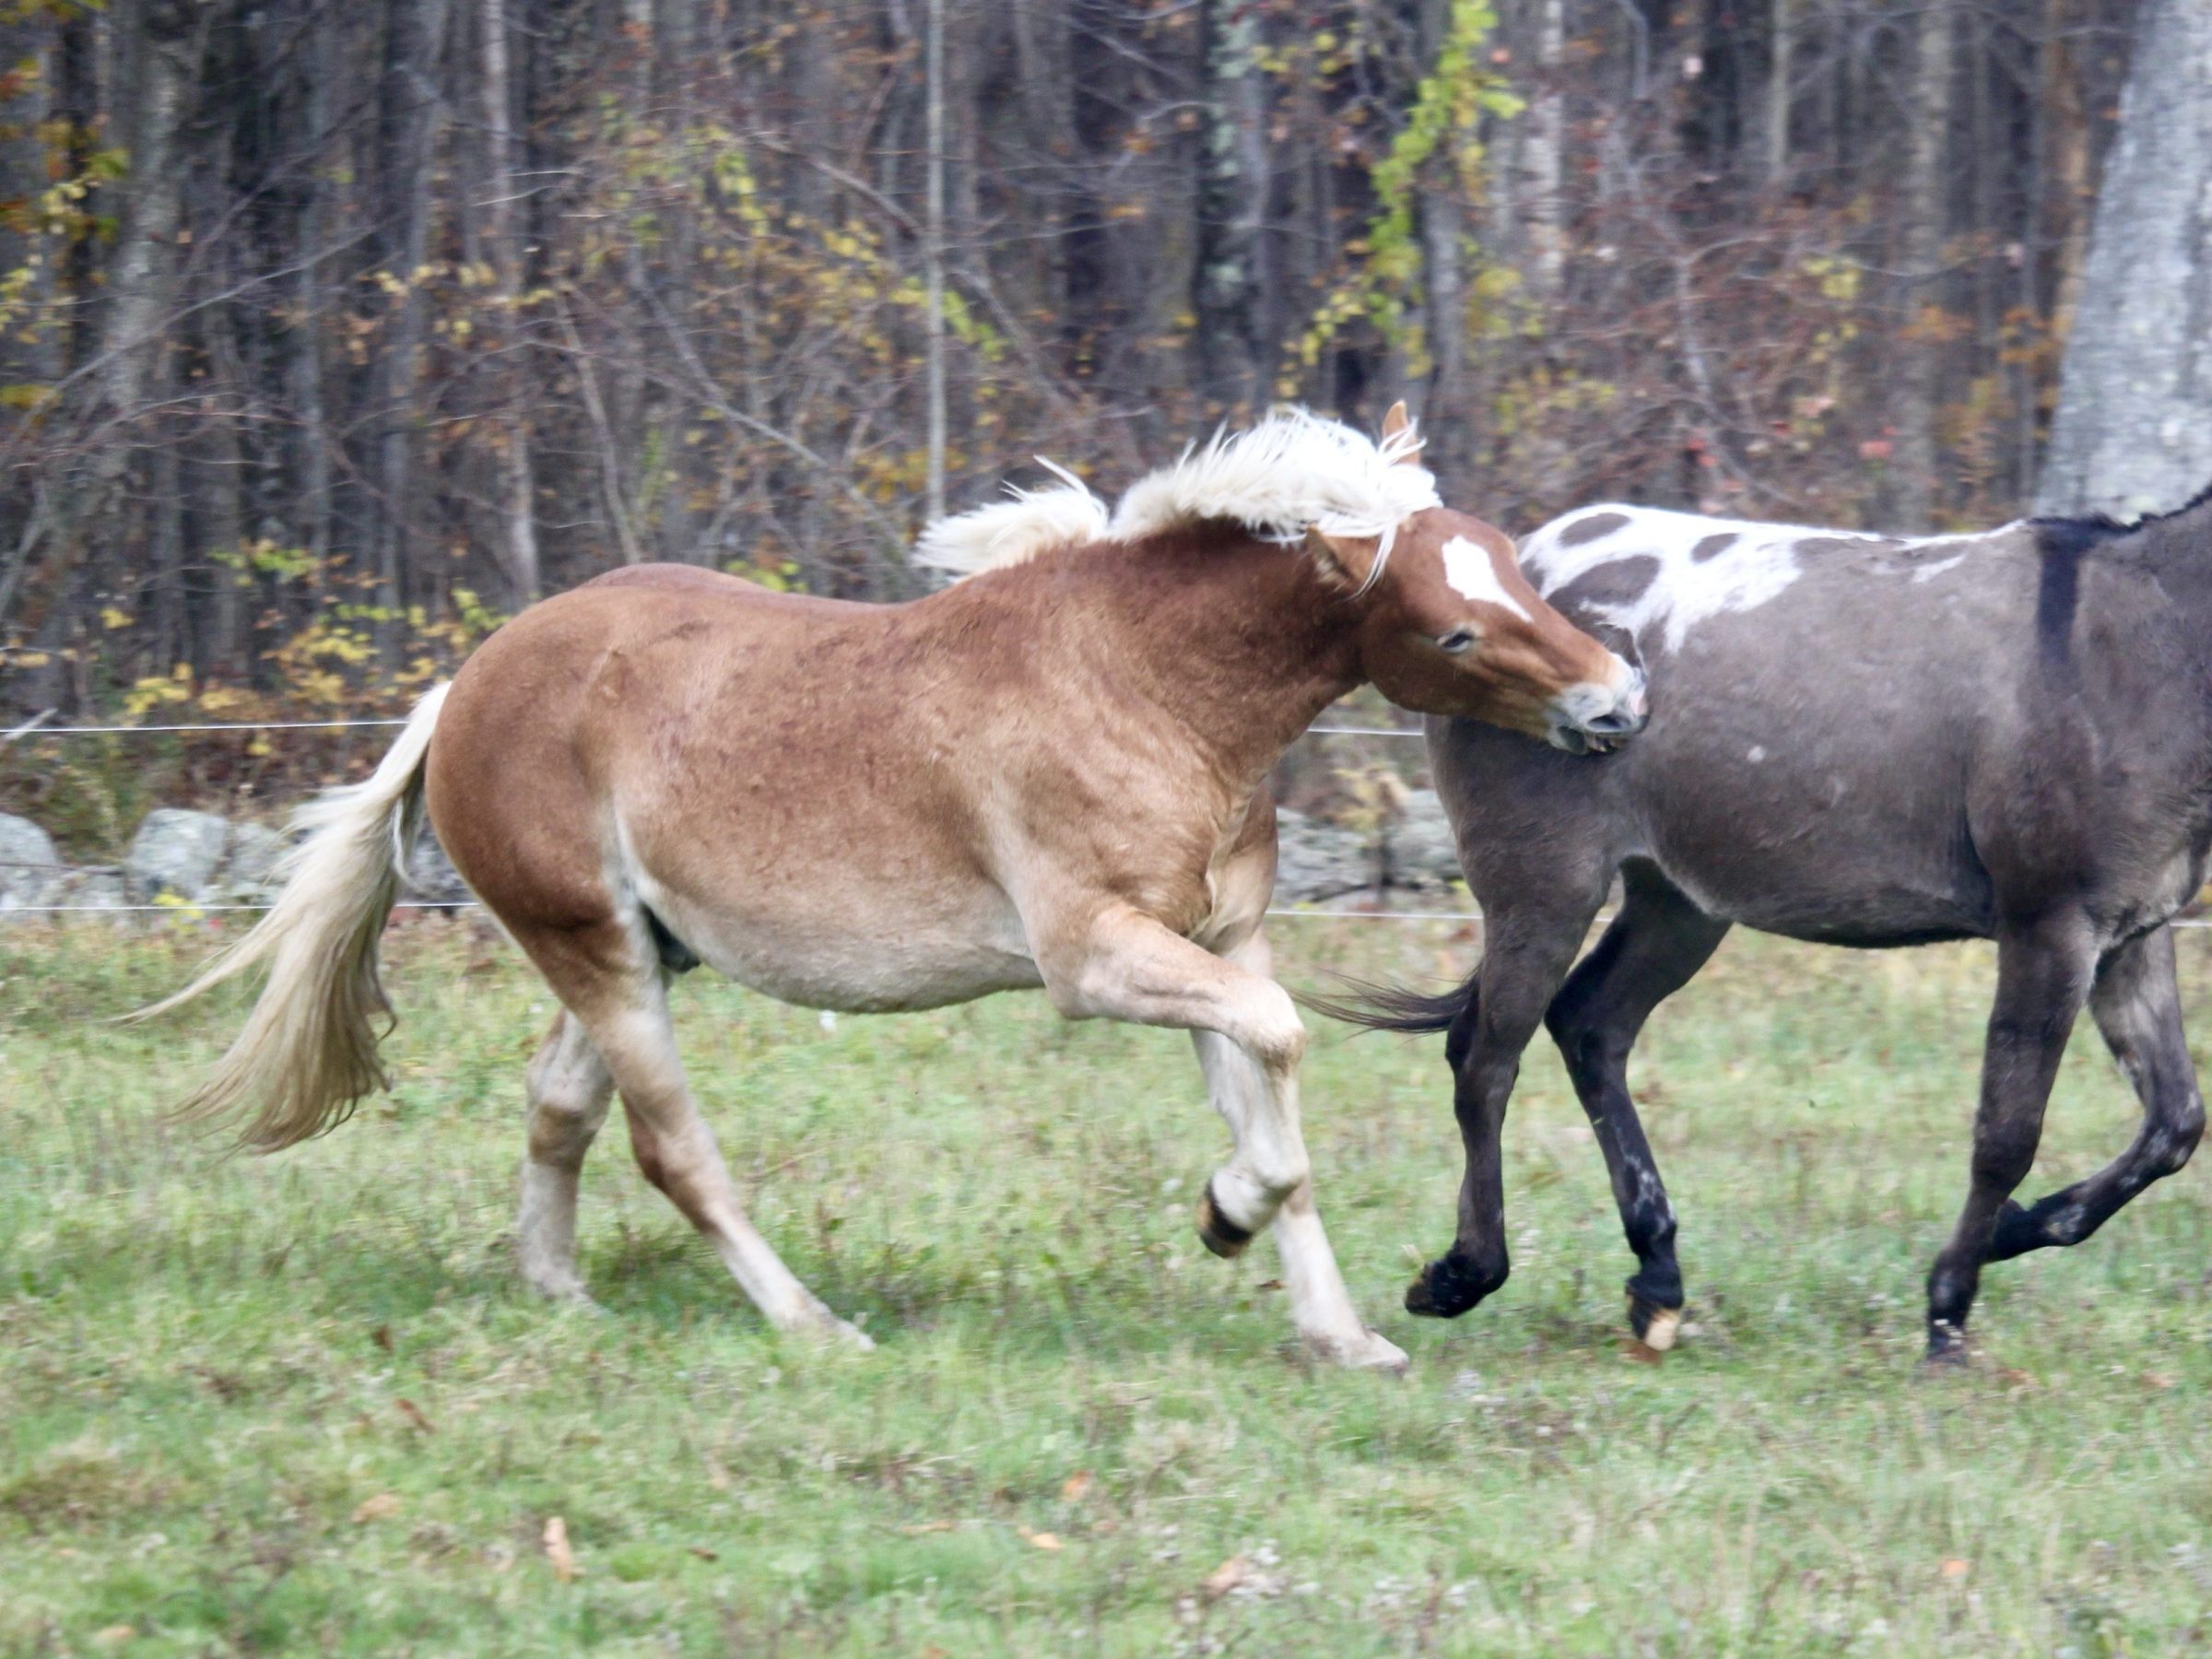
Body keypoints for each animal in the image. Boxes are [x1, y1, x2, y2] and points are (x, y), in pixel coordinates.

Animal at [147, 406, 1647, 1370]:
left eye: (1513, 566)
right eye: (1452, 632)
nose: (1619, 705)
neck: (1147, 683)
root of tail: (467, 686)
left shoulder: (1227, 941)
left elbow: (1271, 1093)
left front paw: (1339, 1335)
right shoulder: (1097, 958)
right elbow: (1275, 1082)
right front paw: (1227, 1217)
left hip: (633, 949)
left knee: (558, 1107)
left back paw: (558, 1293)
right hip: (599, 954)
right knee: (672, 1149)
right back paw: (815, 1328)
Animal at [1327, 487, 2212, 1363]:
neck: (2134, 648)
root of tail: (1527, 559)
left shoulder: (2128, 936)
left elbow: (2175, 1124)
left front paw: (2012, 1235)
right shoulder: (2049, 931)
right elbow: (2006, 1136)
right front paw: (1948, 1309)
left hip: (1677, 905)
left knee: (1588, 1025)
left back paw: (1657, 1275)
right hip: (1545, 890)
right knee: (1485, 1061)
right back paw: (1464, 1274)